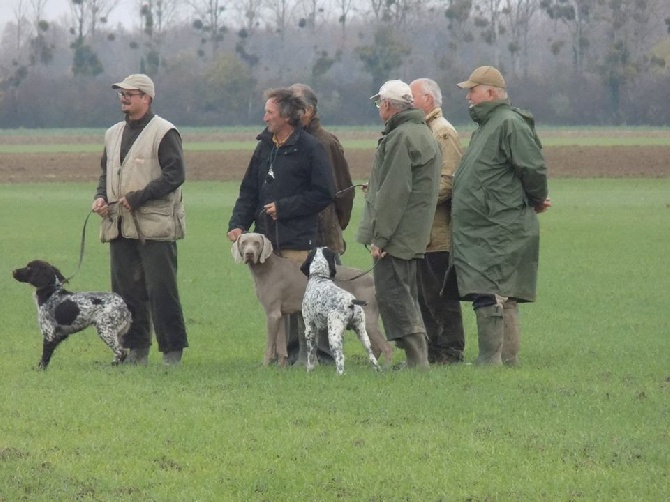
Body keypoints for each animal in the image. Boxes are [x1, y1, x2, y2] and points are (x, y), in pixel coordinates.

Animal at [231, 232, 394, 368]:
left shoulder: (272, 314)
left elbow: (269, 345)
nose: (249, 254)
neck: (267, 268)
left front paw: (265, 366)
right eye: (244, 242)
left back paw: (386, 368)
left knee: (386, 347)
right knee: (376, 347)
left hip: (369, 320)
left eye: (257, 243)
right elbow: (281, 345)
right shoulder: (280, 315)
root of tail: (372, 279)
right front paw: (281, 367)